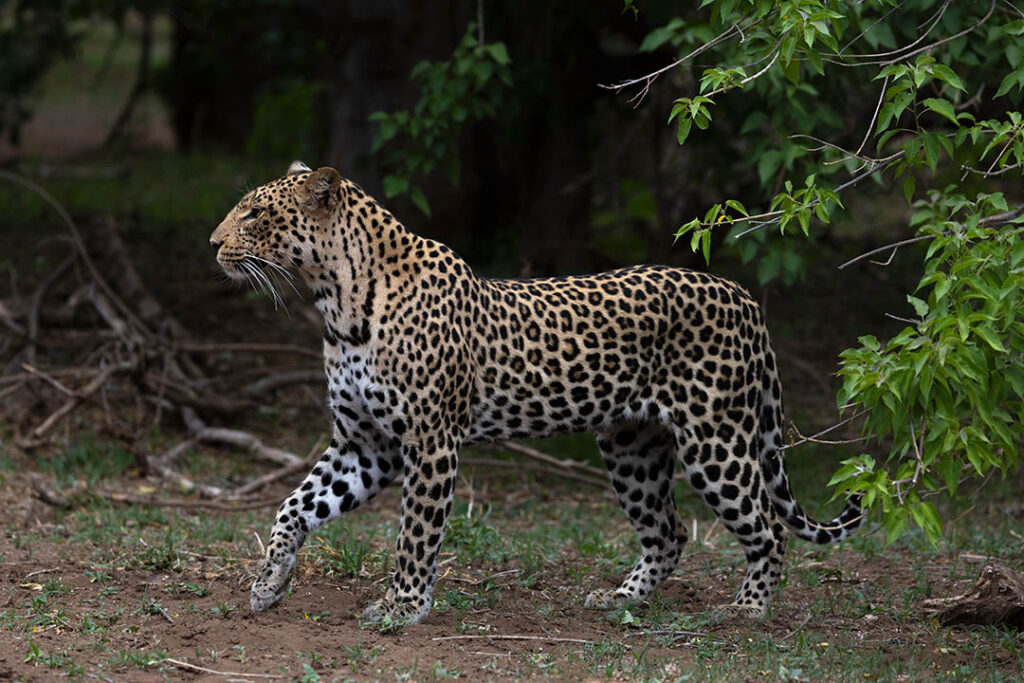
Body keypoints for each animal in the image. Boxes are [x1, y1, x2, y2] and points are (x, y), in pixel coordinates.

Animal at [209, 161, 863, 626]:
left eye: (253, 213)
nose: (213, 244)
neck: (336, 302)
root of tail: (744, 297)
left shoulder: (429, 441)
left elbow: (415, 534)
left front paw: (403, 608)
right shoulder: (364, 444)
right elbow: (294, 506)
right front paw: (269, 583)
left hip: (715, 440)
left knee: (769, 527)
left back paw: (748, 609)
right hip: (632, 446)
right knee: (669, 532)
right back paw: (620, 599)